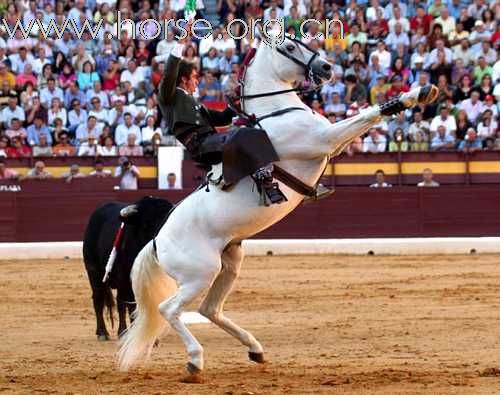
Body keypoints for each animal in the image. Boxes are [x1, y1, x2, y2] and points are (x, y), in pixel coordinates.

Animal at [117, 32, 438, 378]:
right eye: (289, 46)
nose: (327, 67)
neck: (276, 111)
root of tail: (155, 241)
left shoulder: (330, 143)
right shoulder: (324, 139)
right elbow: (365, 116)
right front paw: (415, 94)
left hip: (229, 262)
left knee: (209, 309)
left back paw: (255, 349)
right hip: (199, 273)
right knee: (170, 309)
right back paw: (195, 359)